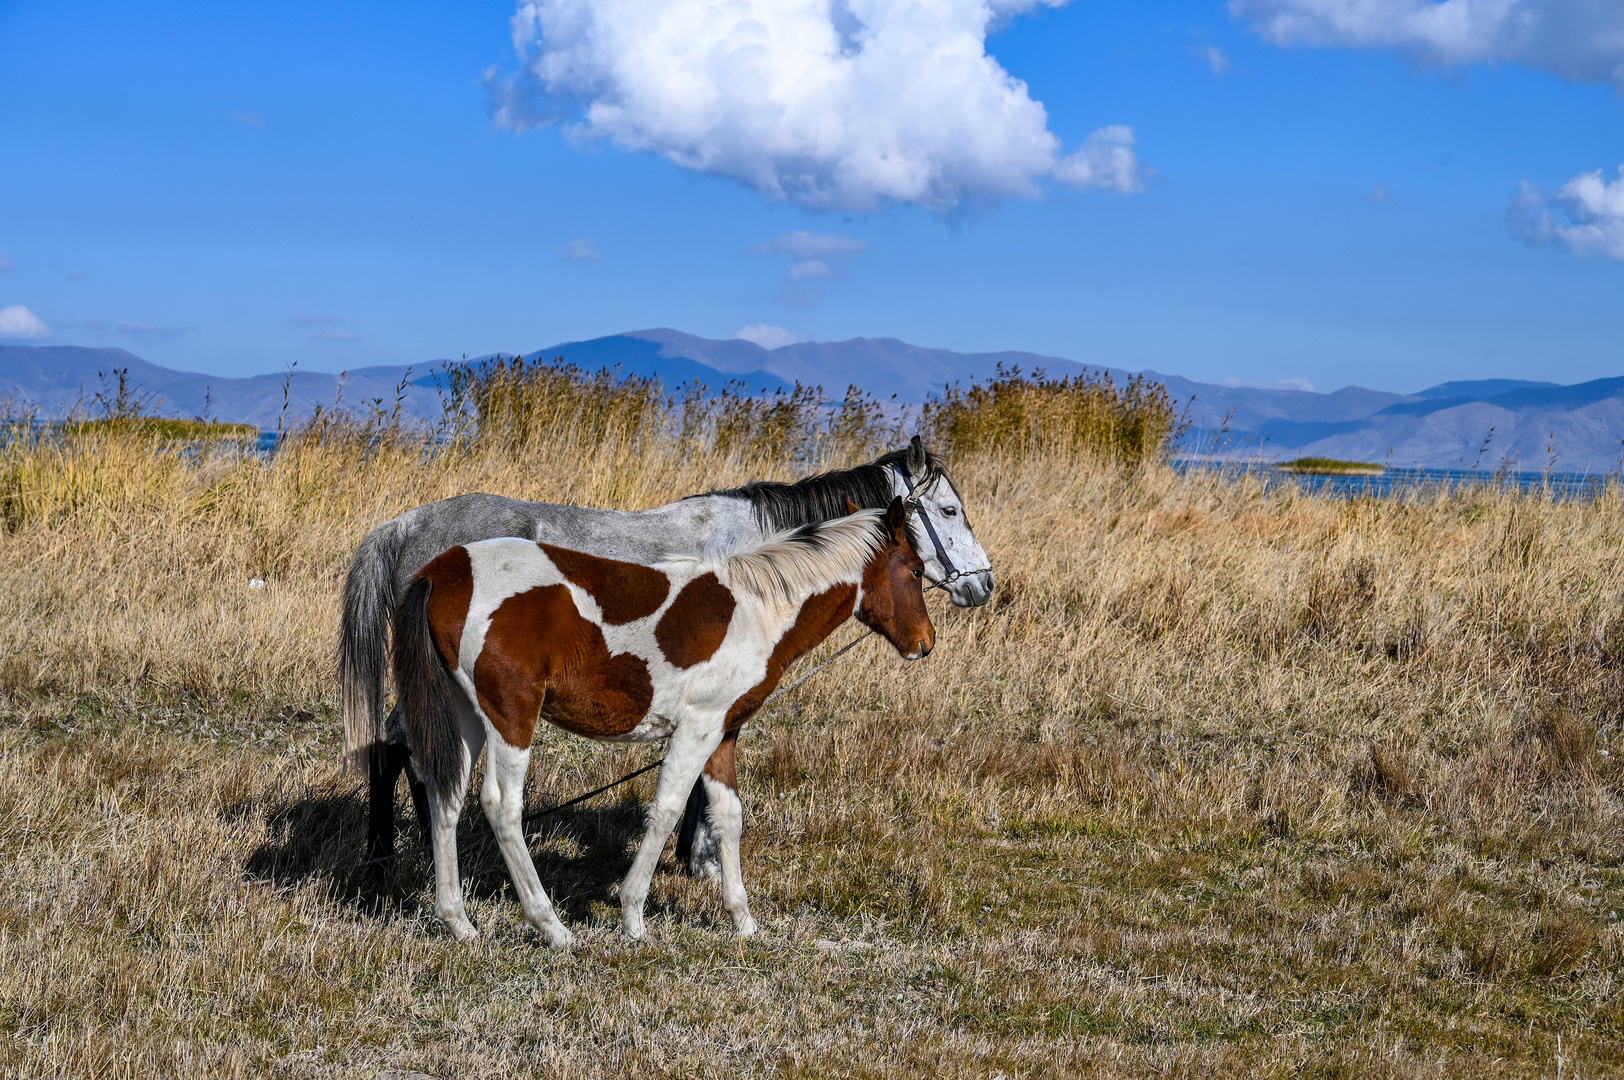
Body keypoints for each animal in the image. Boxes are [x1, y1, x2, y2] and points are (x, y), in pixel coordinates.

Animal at [344, 435, 993, 876]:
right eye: (950, 511)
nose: (983, 585)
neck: (758, 556)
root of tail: (405, 526)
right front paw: (699, 859)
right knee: (401, 745)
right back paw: (394, 856)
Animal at [393, 496, 935, 941]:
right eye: (914, 570)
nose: (925, 643)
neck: (757, 610)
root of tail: (444, 571)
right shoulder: (696, 729)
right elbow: (668, 811)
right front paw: (633, 917)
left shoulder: (722, 732)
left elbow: (728, 818)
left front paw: (743, 922)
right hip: (512, 715)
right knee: (502, 805)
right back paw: (551, 927)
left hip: (467, 715)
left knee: (445, 796)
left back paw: (458, 922)